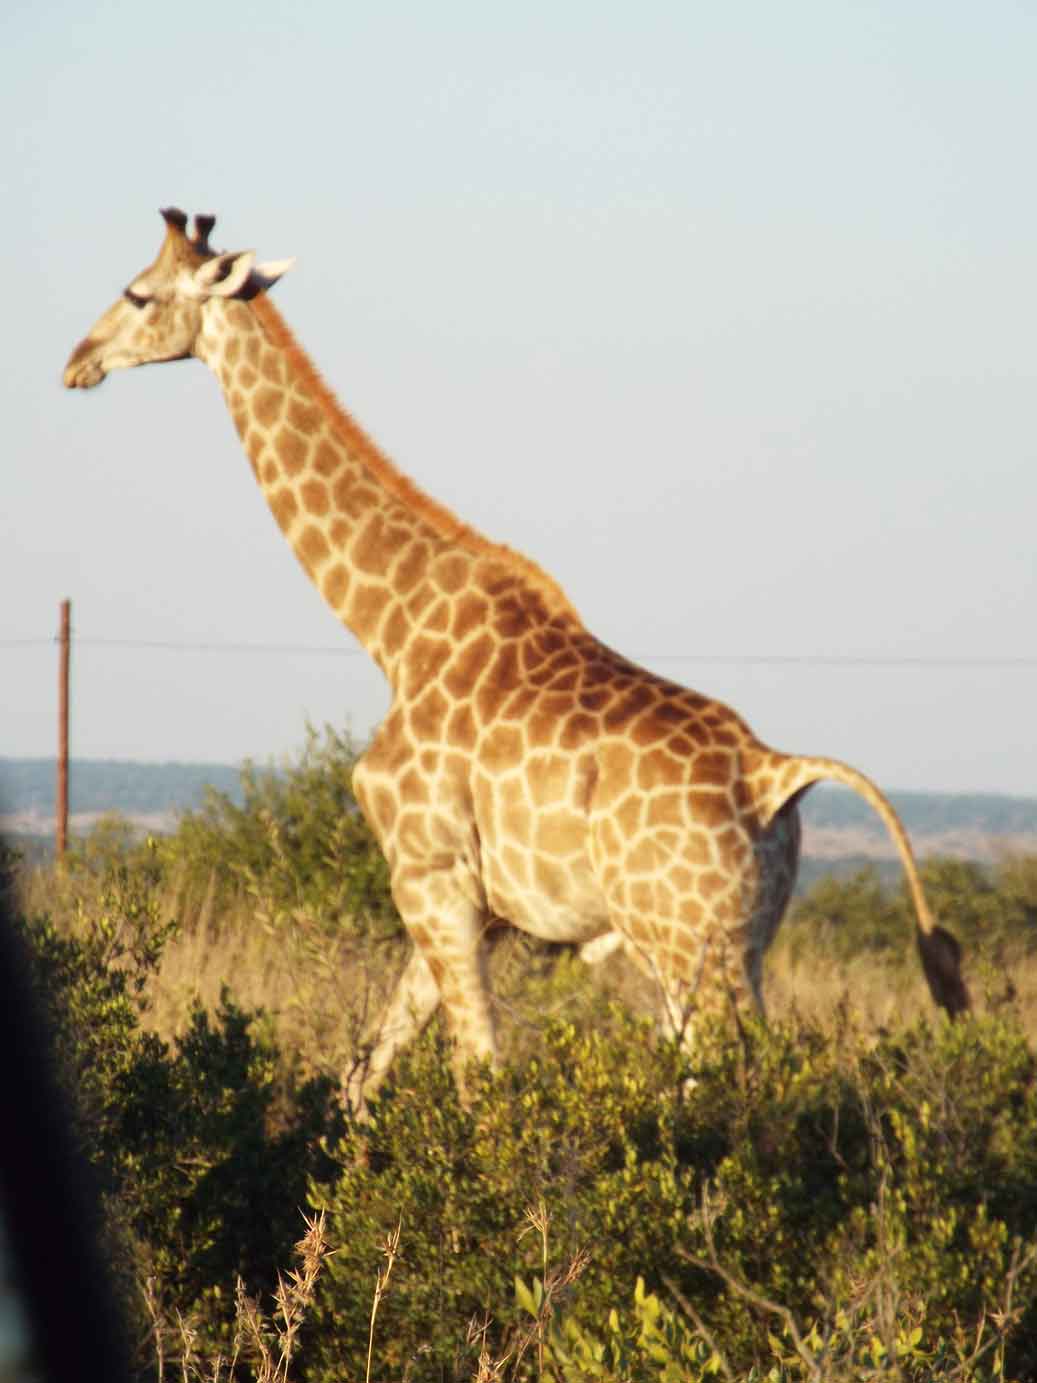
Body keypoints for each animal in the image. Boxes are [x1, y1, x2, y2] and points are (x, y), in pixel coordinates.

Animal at [64, 208, 970, 1111]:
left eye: (136, 294)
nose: (78, 361)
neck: (393, 632)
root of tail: (774, 772)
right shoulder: (472, 902)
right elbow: (364, 1073)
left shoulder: (427, 878)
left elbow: (477, 1076)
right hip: (737, 936)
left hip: (687, 937)